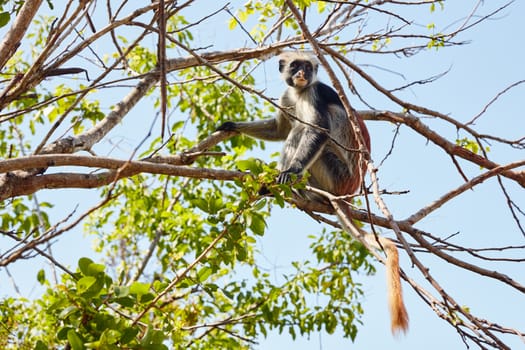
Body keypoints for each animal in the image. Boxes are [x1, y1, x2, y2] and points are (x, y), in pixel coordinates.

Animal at [215, 51, 408, 334]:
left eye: (307, 67)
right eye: (295, 66)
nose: (301, 74)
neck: (300, 91)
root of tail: (348, 193)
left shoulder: (313, 94)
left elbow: (317, 130)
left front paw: (291, 171)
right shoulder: (288, 95)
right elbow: (279, 129)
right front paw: (233, 125)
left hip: (335, 175)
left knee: (303, 132)